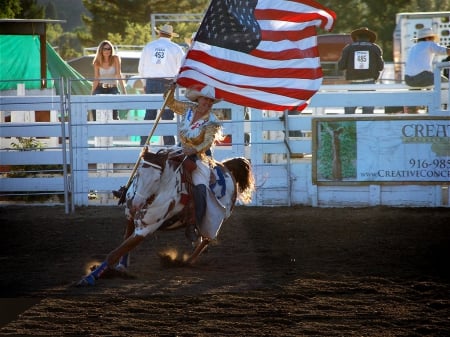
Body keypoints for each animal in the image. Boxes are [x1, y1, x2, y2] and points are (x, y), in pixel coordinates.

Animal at [75, 146, 255, 284]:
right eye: (138, 174)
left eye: (157, 180)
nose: (136, 204)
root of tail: (225, 166)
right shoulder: (131, 219)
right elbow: (124, 247)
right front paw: (120, 269)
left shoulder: (145, 229)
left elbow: (116, 252)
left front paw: (89, 278)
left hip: (217, 219)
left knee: (206, 240)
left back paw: (186, 261)